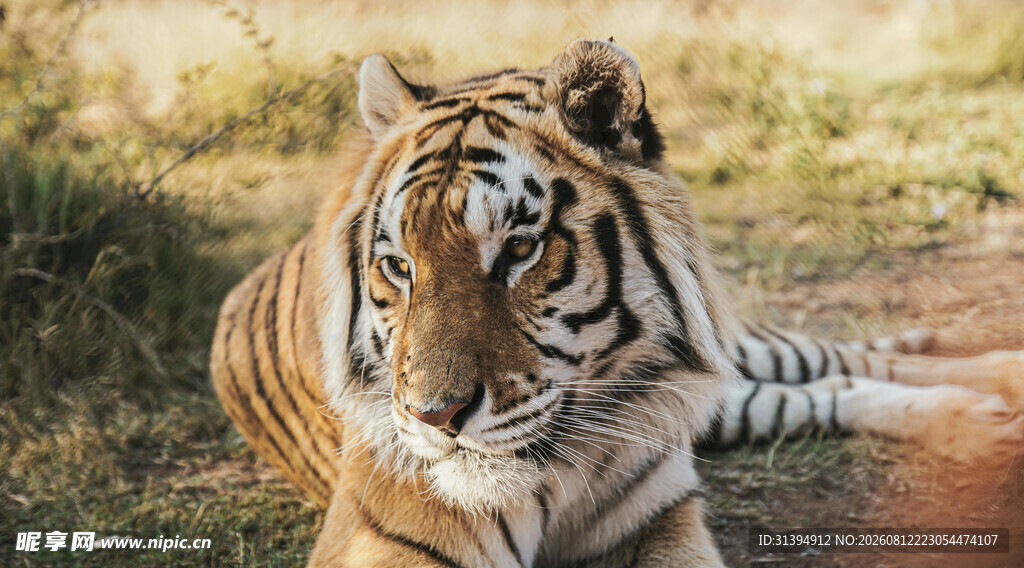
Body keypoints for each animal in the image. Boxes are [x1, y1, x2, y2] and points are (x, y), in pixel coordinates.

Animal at [210, 39, 1024, 567]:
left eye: (519, 250)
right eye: (397, 267)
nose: (434, 418)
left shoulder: (661, 523)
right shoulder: (380, 536)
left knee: (832, 359)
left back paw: (995, 381)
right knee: (827, 386)